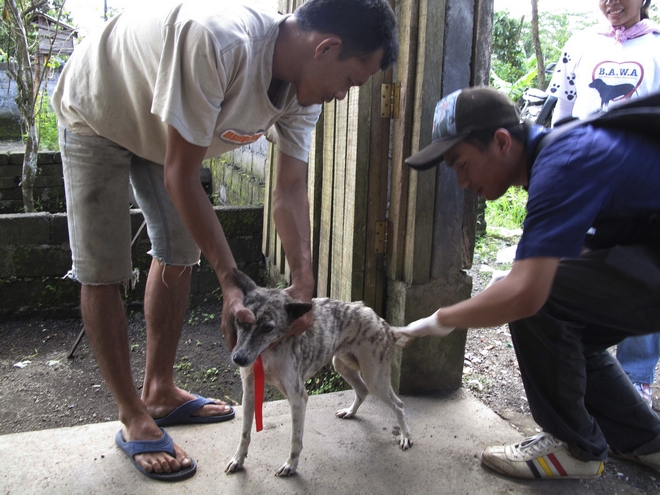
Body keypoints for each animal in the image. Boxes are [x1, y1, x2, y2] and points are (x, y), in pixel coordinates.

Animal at [227, 270, 412, 478]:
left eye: (268, 328)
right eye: (240, 321)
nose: (238, 358)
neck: (269, 353)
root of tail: (384, 323)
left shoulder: (298, 399)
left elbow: (295, 440)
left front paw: (290, 465)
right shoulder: (249, 393)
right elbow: (244, 434)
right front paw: (238, 459)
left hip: (375, 379)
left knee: (399, 405)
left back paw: (405, 436)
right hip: (341, 365)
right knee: (362, 390)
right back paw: (350, 412)